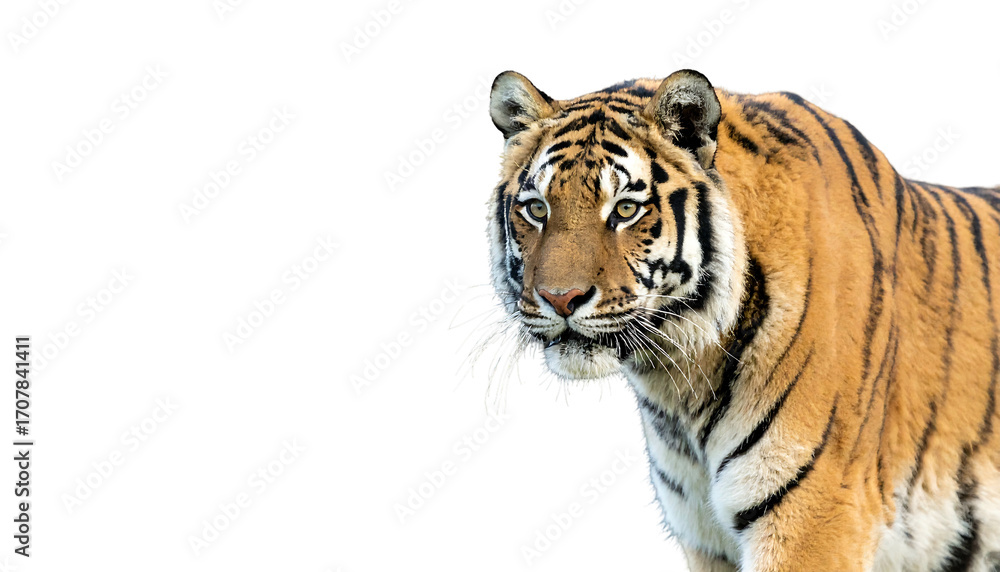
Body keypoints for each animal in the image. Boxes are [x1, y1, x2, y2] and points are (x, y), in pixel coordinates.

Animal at [485, 69, 1000, 571]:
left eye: (626, 209)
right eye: (537, 209)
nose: (560, 299)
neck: (679, 380)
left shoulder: (815, 516)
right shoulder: (705, 537)